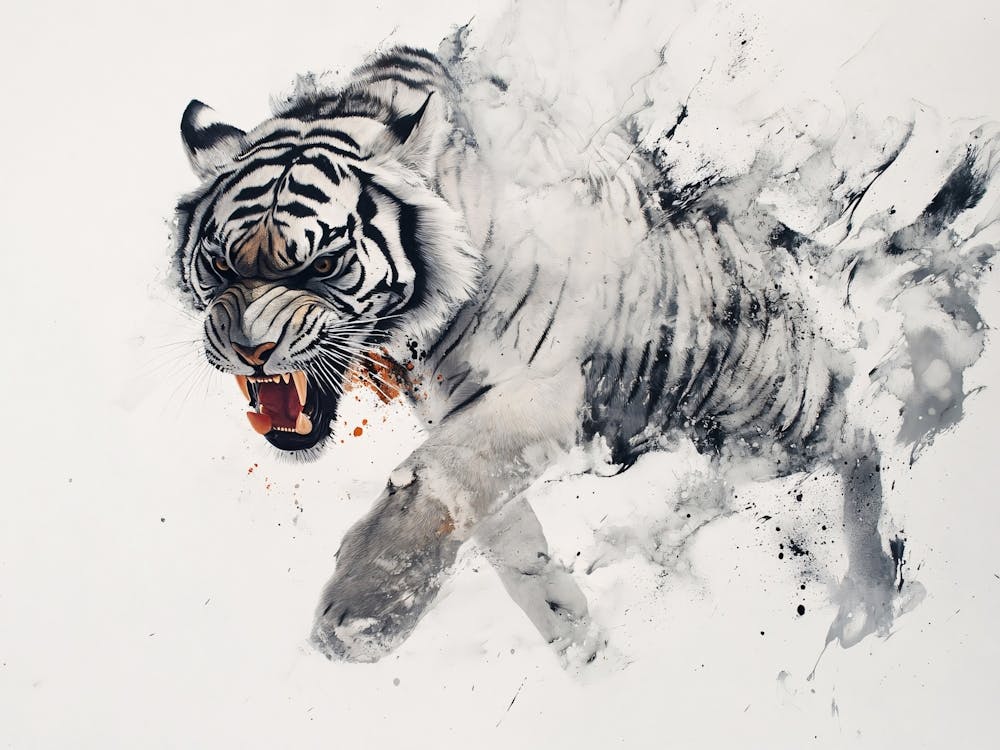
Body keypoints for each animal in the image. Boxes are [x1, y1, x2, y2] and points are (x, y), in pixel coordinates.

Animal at [171, 32, 1000, 664]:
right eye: (219, 264)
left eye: (317, 265)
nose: (249, 351)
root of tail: (759, 236)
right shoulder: (462, 413)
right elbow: (502, 533)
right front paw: (577, 638)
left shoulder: (540, 390)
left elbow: (436, 479)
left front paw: (359, 614)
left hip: (771, 408)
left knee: (859, 439)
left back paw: (873, 592)